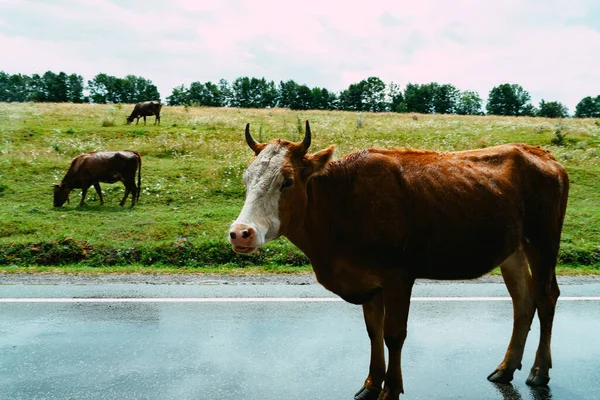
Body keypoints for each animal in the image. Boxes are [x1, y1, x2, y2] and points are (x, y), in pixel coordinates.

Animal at [229, 122, 568, 400]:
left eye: (286, 181)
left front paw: (391, 388)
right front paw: (370, 384)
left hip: (543, 241)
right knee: (523, 301)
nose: (241, 232)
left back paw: (539, 372)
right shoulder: (366, 279)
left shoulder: (398, 276)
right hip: (513, 249)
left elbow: (394, 335)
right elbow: (373, 331)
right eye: (246, 179)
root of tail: (539, 152)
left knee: (546, 297)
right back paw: (506, 368)